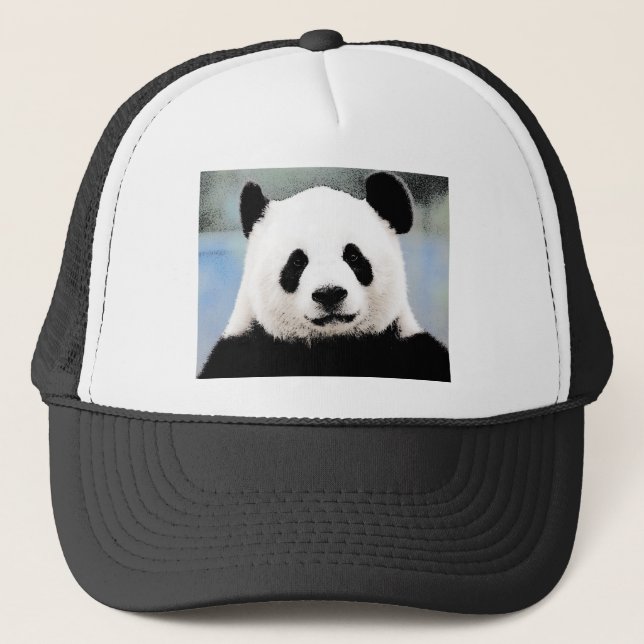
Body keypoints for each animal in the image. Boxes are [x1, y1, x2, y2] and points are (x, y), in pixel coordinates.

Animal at [198, 172, 450, 381]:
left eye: (353, 256)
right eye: (297, 261)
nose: (329, 293)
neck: (329, 342)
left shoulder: (405, 347)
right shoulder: (245, 348)